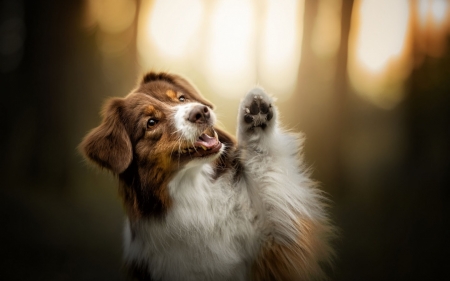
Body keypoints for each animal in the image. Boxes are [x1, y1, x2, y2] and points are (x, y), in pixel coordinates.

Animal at [80, 72, 334, 280]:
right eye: (151, 122)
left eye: (181, 98)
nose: (200, 112)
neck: (197, 190)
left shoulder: (276, 248)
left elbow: (269, 184)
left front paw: (256, 115)